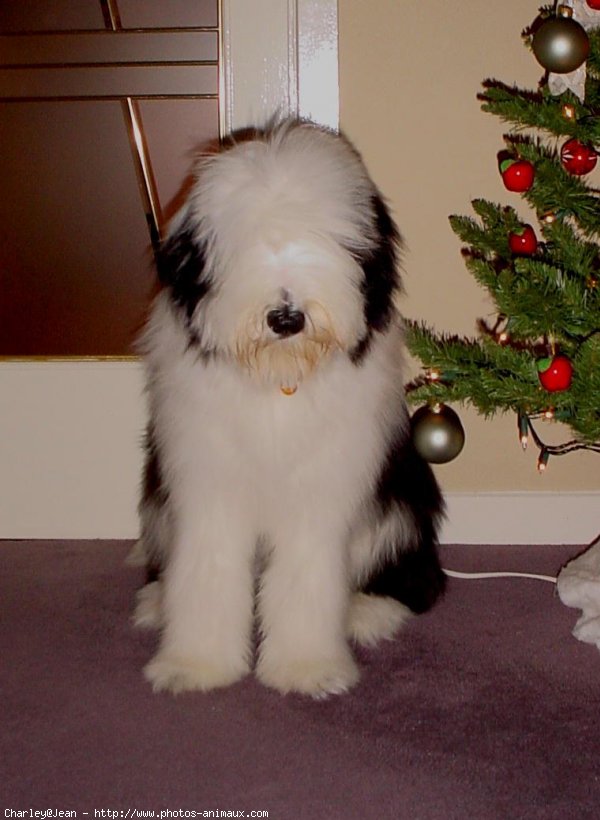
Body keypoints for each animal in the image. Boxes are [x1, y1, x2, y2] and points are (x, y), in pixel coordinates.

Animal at [134, 118, 448, 696]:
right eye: (248, 243)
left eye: (329, 240)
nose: (286, 317)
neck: (280, 377)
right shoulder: (208, 482)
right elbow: (207, 571)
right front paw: (195, 664)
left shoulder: (321, 489)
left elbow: (307, 576)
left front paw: (307, 668)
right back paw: (156, 603)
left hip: (398, 505)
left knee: (411, 578)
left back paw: (366, 614)